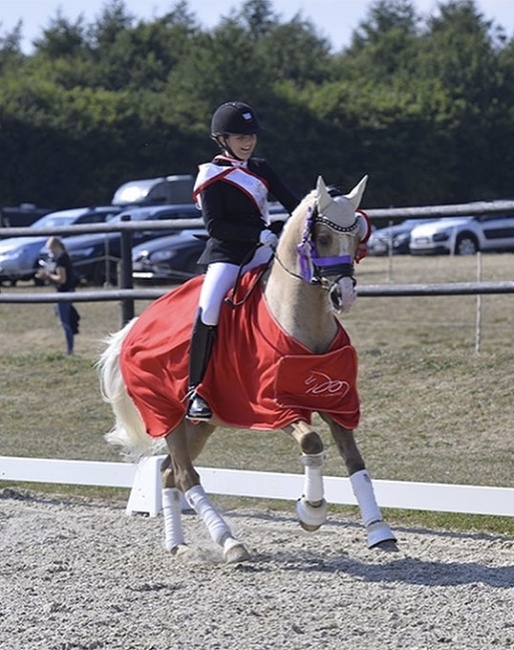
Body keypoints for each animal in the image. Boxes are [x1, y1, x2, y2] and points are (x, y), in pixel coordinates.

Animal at [99, 175, 396, 560]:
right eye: (322, 237)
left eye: (358, 236)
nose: (342, 295)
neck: (300, 323)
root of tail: (133, 328)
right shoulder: (276, 407)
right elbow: (312, 443)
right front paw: (311, 510)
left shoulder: (337, 403)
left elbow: (356, 463)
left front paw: (379, 531)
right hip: (165, 416)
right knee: (186, 475)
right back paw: (229, 542)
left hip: (200, 425)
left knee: (167, 472)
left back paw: (178, 544)